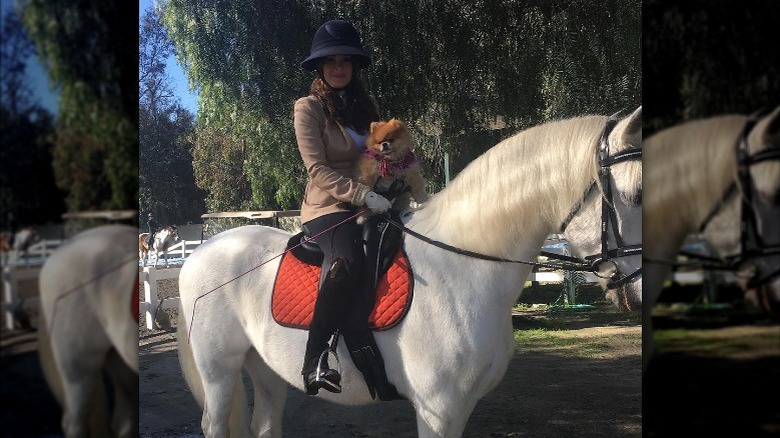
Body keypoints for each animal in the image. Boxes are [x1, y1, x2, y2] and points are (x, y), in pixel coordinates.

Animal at [180, 107, 644, 438]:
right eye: (639, 193)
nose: (639, 291)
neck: (463, 268)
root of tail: (199, 253)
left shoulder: (462, 408)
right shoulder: (438, 409)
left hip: (266, 370)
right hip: (219, 372)